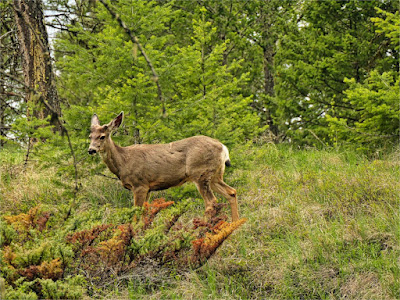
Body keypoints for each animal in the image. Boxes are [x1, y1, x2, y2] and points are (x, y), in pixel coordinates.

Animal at [88, 112, 238, 220]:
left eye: (102, 136)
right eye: (90, 136)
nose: (91, 150)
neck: (123, 162)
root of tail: (223, 147)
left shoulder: (140, 185)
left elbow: (137, 212)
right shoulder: (148, 188)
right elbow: (145, 213)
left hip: (201, 173)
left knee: (211, 202)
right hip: (215, 175)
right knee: (231, 192)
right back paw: (234, 225)